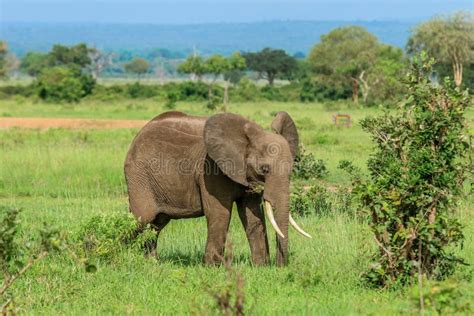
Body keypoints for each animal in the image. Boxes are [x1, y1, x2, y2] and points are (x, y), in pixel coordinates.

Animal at [125, 111, 312, 266]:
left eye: (291, 170)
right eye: (264, 170)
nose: (280, 267)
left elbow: (253, 216)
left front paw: (260, 267)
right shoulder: (211, 171)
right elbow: (220, 213)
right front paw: (212, 268)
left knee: (156, 224)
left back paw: (152, 264)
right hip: (139, 176)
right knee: (142, 218)